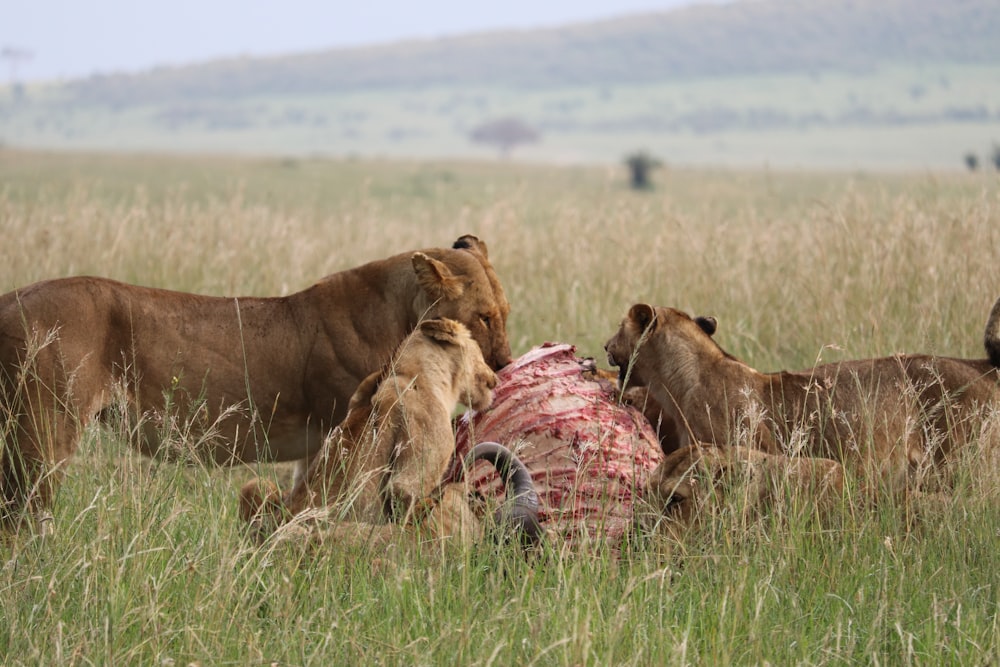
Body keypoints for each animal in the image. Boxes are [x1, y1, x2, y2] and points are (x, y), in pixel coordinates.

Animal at [0, 235, 512, 532]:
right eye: (485, 317)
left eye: (505, 313)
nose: (504, 365)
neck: (401, 312)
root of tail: (9, 299)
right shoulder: (350, 425)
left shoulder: (320, 443)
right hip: (43, 434)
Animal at [240, 320, 540, 552]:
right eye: (478, 348)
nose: (495, 376)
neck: (409, 371)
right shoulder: (423, 454)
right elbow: (412, 500)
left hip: (256, 486)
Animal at [604, 298, 1000, 496]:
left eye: (620, 328)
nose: (606, 346)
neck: (679, 383)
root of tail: (984, 366)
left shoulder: (746, 452)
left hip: (961, 465)